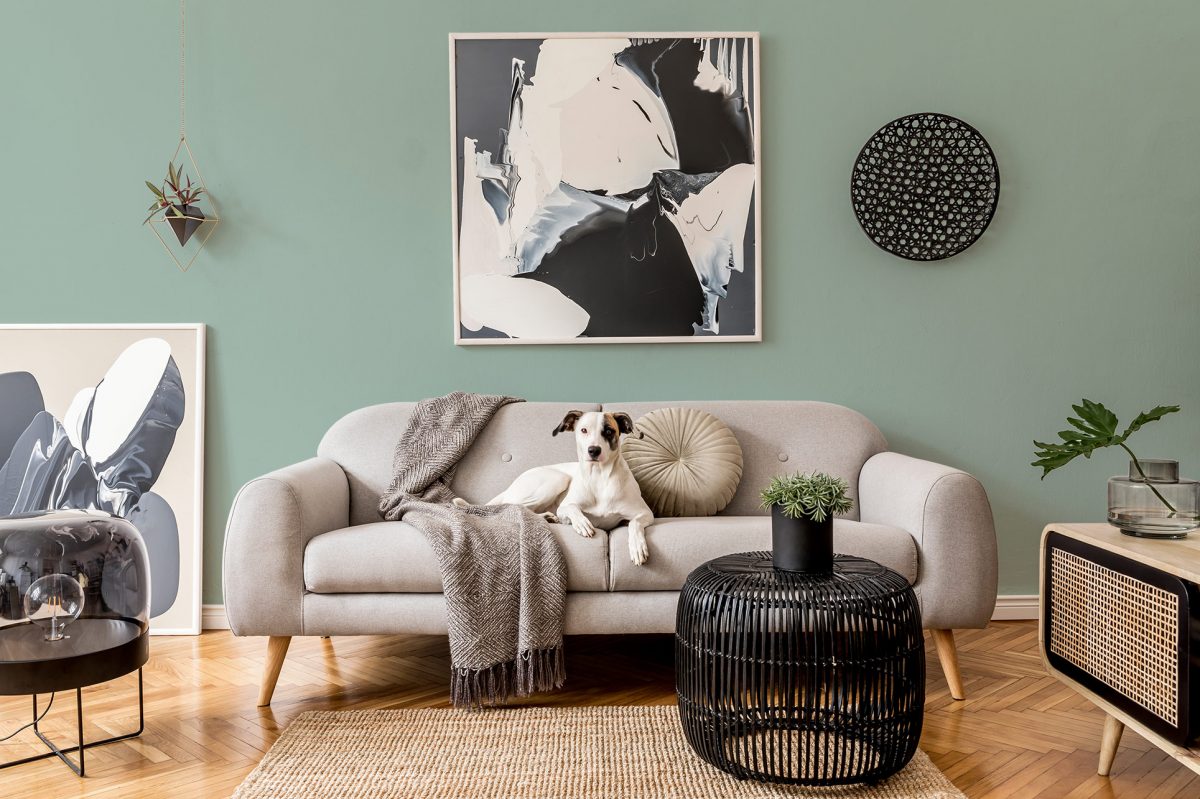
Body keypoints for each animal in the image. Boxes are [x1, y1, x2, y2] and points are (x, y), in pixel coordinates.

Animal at [453, 410, 654, 565]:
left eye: (609, 431)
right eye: (583, 430)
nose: (593, 450)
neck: (599, 477)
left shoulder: (644, 513)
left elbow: (634, 524)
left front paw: (637, 547)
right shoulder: (565, 508)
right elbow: (572, 509)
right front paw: (582, 523)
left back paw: (547, 517)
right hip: (556, 479)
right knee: (512, 507)